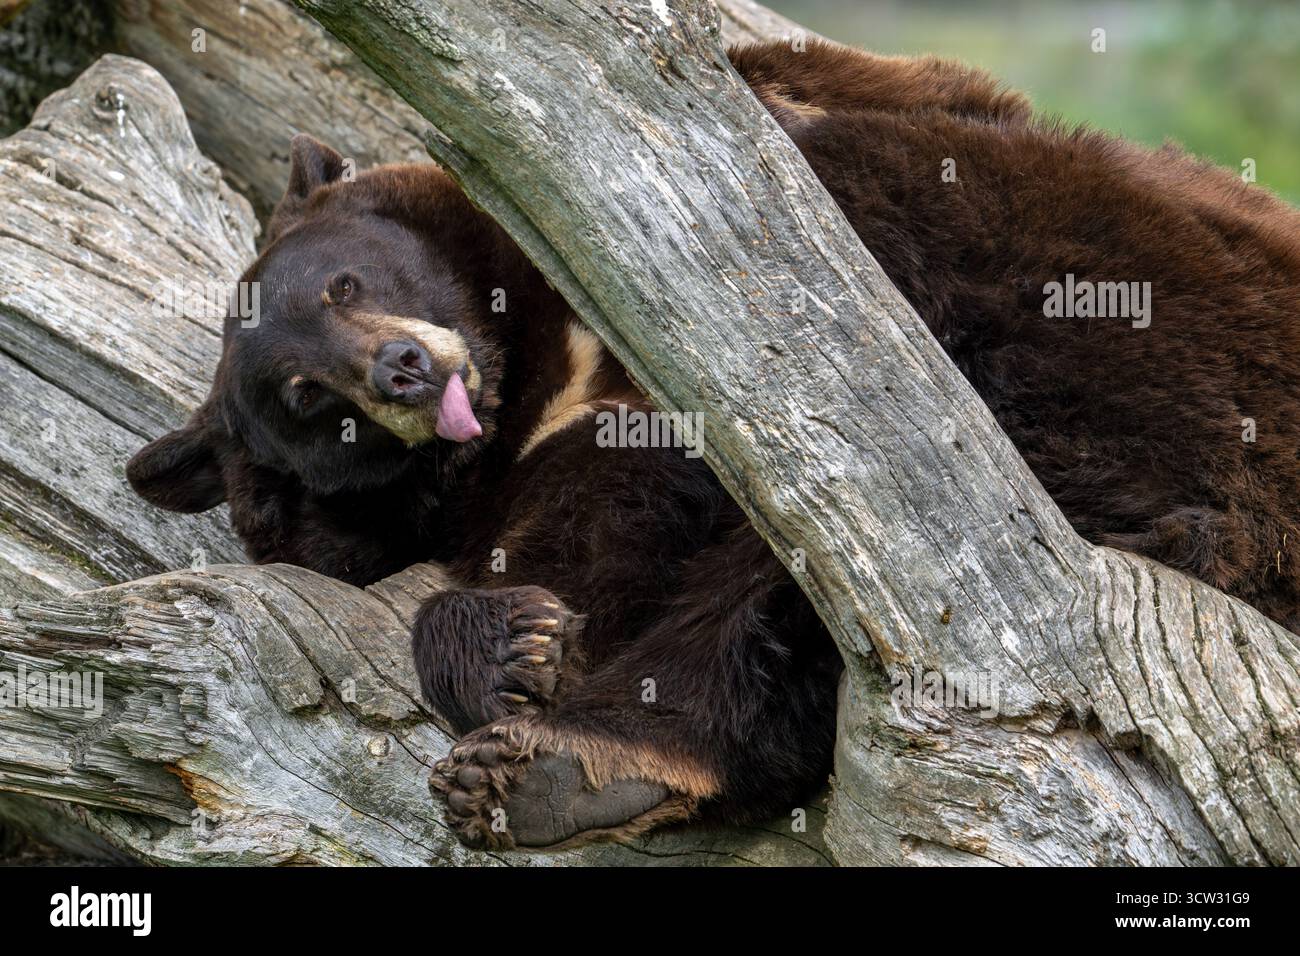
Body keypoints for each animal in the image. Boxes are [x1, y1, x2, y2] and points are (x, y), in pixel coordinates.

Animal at [127, 38, 1300, 849]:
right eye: (304, 396)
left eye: (343, 280)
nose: (403, 371)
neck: (543, 364)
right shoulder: (539, 473)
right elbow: (585, 559)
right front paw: (514, 644)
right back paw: (541, 772)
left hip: (1137, 310)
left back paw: (574, 759)